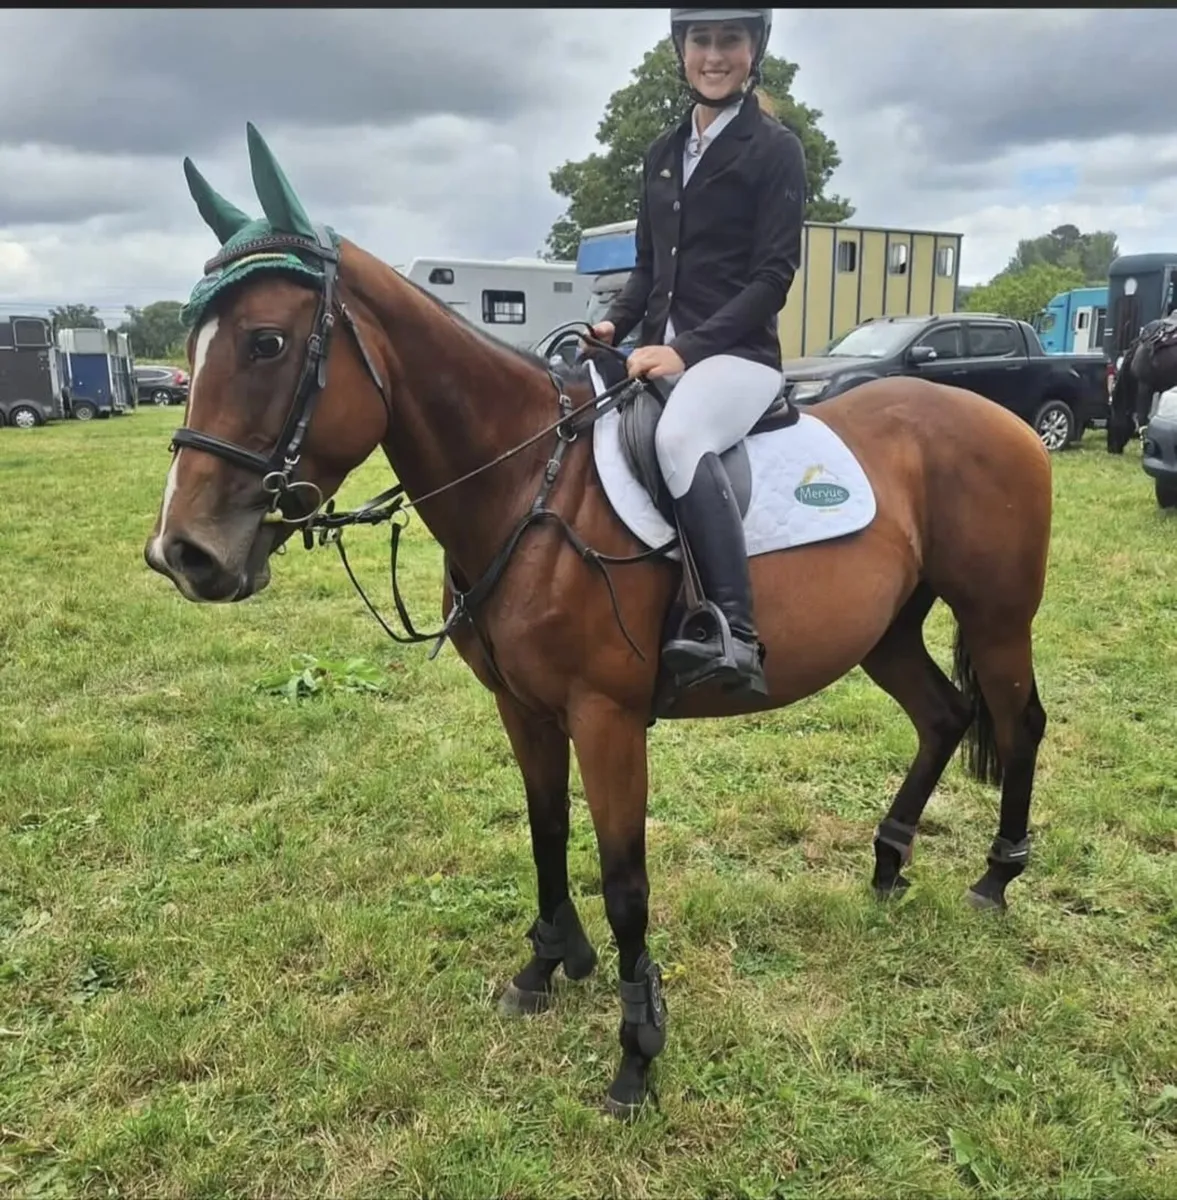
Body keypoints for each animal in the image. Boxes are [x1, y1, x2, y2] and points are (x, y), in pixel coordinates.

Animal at [144, 125, 1053, 1119]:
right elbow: (544, 830)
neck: (530, 487)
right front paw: (545, 966)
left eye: (266, 342)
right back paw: (888, 865)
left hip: (997, 618)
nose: (183, 552)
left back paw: (996, 877)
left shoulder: (606, 718)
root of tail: (1002, 417)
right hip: (885, 632)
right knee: (942, 714)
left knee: (1018, 722)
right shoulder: (523, 707)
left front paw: (636, 1051)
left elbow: (625, 880)